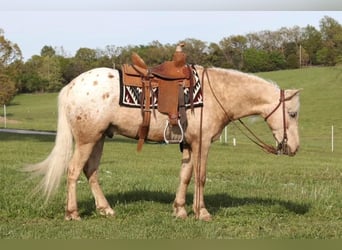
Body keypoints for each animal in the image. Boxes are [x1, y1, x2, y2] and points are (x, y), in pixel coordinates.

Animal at [26, 65, 300, 221]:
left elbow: (185, 176)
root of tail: (71, 86)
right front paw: (202, 212)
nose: (294, 148)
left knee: (90, 171)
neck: (216, 93)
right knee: (73, 171)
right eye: (293, 113)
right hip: (87, 139)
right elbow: (200, 176)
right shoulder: (203, 143)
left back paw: (106, 210)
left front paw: (180, 210)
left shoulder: (189, 144)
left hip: (99, 138)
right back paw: (72, 213)